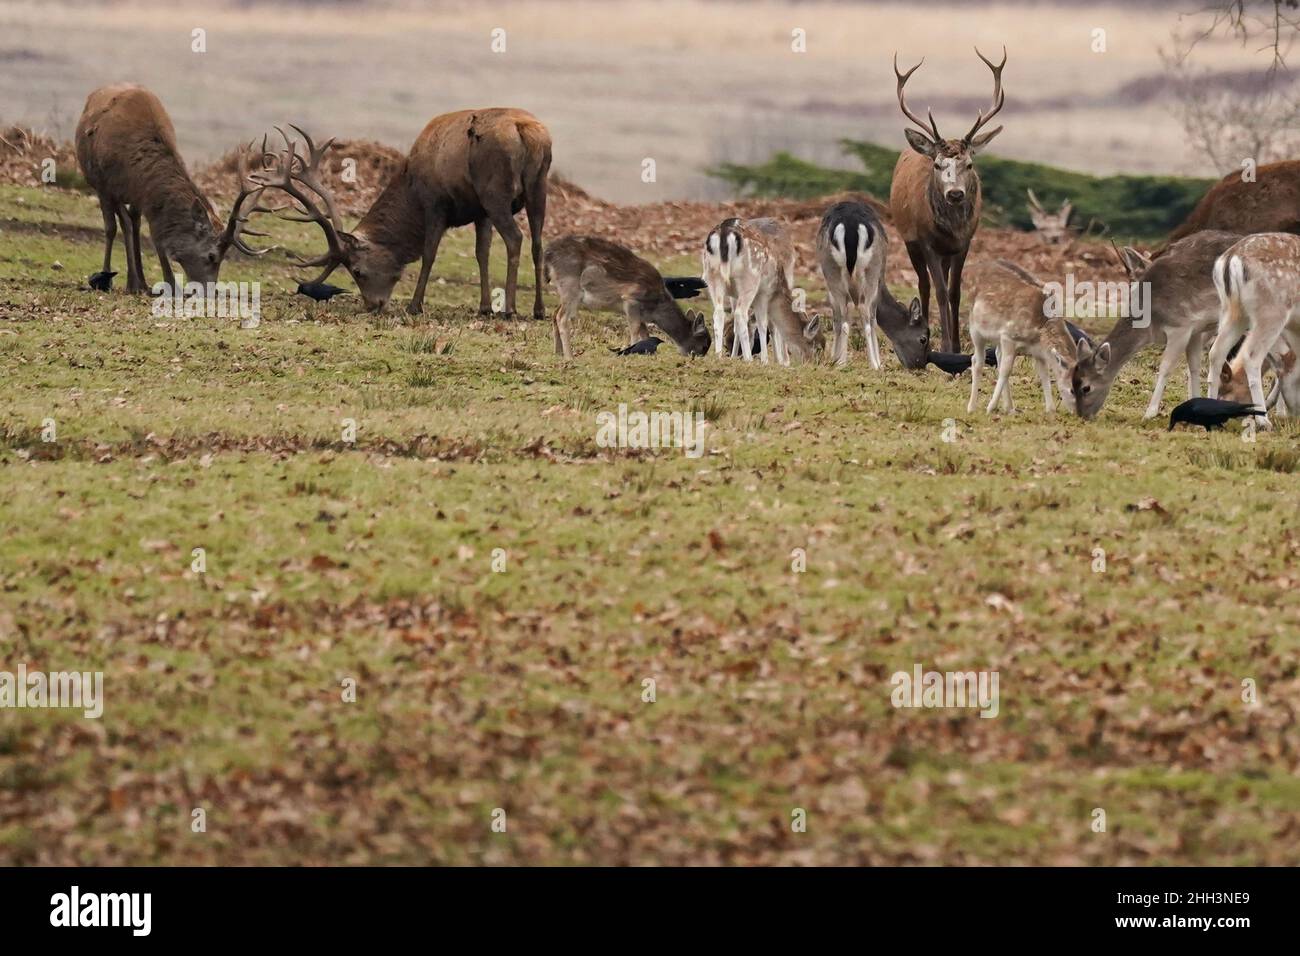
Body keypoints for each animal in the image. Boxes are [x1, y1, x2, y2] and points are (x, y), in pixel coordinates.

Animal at [72, 85, 270, 295]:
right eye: (211, 256)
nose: (210, 291)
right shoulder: (104, 185)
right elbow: (114, 227)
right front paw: (115, 280)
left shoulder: (143, 195)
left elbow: (154, 234)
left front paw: (167, 285)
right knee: (119, 225)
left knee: (135, 223)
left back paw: (142, 281)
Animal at [546, 235, 717, 358]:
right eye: (704, 345)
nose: (698, 357)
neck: (655, 309)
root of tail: (549, 254)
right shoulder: (631, 299)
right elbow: (634, 329)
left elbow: (645, 332)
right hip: (571, 286)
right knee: (561, 317)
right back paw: (569, 356)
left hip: (565, 291)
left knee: (554, 313)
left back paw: (557, 352)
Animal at [889, 46, 1008, 353]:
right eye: (938, 165)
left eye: (969, 164)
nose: (955, 193)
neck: (950, 228)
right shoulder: (926, 241)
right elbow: (941, 292)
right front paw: (943, 345)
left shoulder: (964, 242)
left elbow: (955, 292)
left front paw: (956, 346)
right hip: (910, 240)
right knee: (924, 285)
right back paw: (924, 332)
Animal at [967, 261, 1076, 416]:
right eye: (1072, 389)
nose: (1078, 412)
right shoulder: (1008, 336)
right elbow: (1006, 370)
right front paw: (990, 407)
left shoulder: (1038, 352)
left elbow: (1044, 374)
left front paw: (1051, 409)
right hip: (975, 329)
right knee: (977, 361)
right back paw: (971, 407)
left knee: (997, 356)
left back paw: (1009, 408)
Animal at [1201, 230, 1300, 429]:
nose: (1297, 412)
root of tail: (1230, 259)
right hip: (1271, 312)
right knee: (1252, 356)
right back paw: (1263, 421)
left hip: (1232, 311)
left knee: (1216, 352)